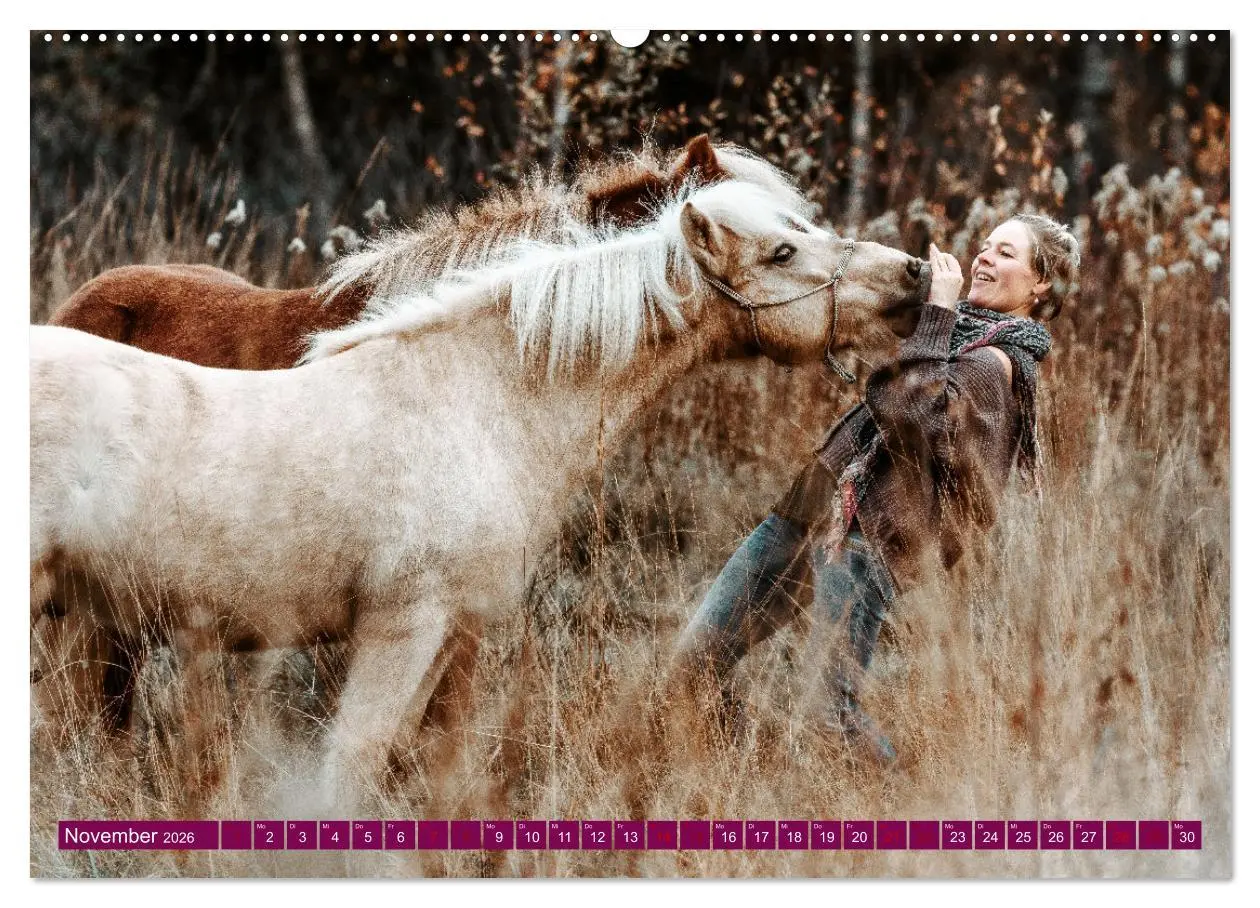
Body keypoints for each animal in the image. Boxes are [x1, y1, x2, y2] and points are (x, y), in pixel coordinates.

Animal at [31, 179, 929, 811]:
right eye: (780, 252)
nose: (914, 275)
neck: (478, 403)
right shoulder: (404, 626)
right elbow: (352, 766)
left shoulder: (449, 633)